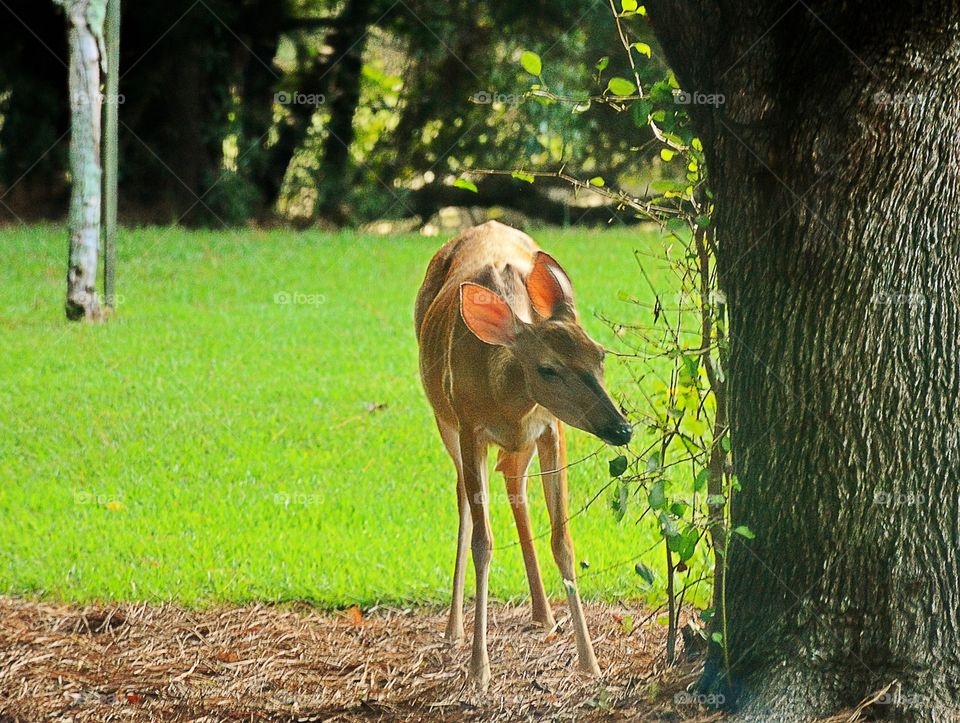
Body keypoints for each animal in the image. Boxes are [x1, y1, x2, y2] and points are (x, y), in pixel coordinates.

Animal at [414, 220, 633, 689]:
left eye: (601, 354)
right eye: (547, 368)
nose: (621, 428)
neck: (508, 402)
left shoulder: (552, 428)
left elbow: (563, 541)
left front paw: (590, 662)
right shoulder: (470, 427)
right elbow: (483, 542)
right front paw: (479, 670)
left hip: (522, 445)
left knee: (515, 486)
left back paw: (544, 613)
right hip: (442, 415)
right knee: (463, 497)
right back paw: (454, 629)